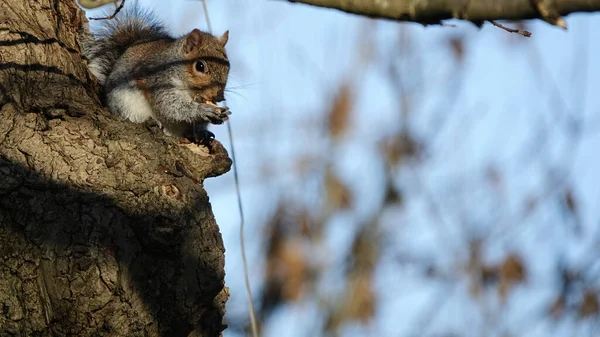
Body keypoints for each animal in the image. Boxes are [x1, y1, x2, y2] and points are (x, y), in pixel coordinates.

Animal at [80, 10, 230, 139]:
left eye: (228, 67)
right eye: (200, 66)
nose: (218, 96)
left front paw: (219, 117)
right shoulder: (159, 79)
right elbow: (168, 106)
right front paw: (202, 110)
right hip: (124, 103)